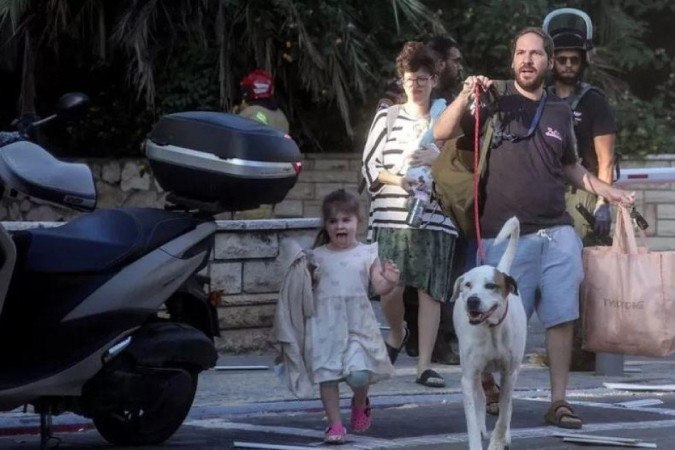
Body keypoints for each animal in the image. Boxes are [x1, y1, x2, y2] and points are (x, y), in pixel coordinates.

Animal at [451, 217, 526, 450]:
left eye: (491, 286)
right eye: (467, 285)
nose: (472, 300)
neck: (492, 329)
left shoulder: (510, 373)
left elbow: (504, 413)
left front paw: (498, 441)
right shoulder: (468, 375)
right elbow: (472, 418)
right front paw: (477, 437)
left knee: (507, 407)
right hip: (476, 371)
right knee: (481, 398)